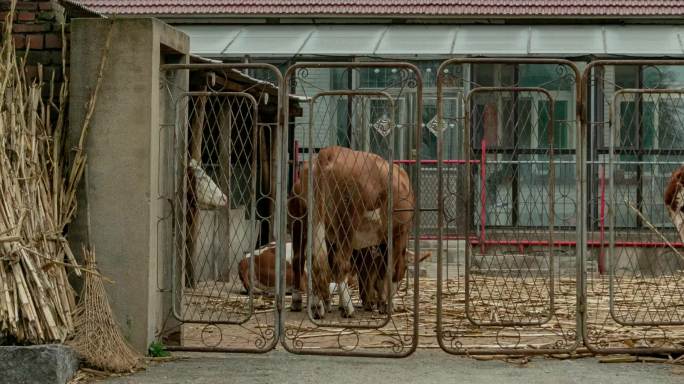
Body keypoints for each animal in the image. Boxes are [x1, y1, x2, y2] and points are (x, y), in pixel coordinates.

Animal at [288, 146, 414, 320]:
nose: (370, 302)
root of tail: (327, 153)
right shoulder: (399, 233)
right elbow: (392, 268)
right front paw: (387, 304)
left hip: (303, 222)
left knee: (304, 259)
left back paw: (310, 305)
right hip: (346, 223)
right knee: (339, 263)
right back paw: (348, 308)